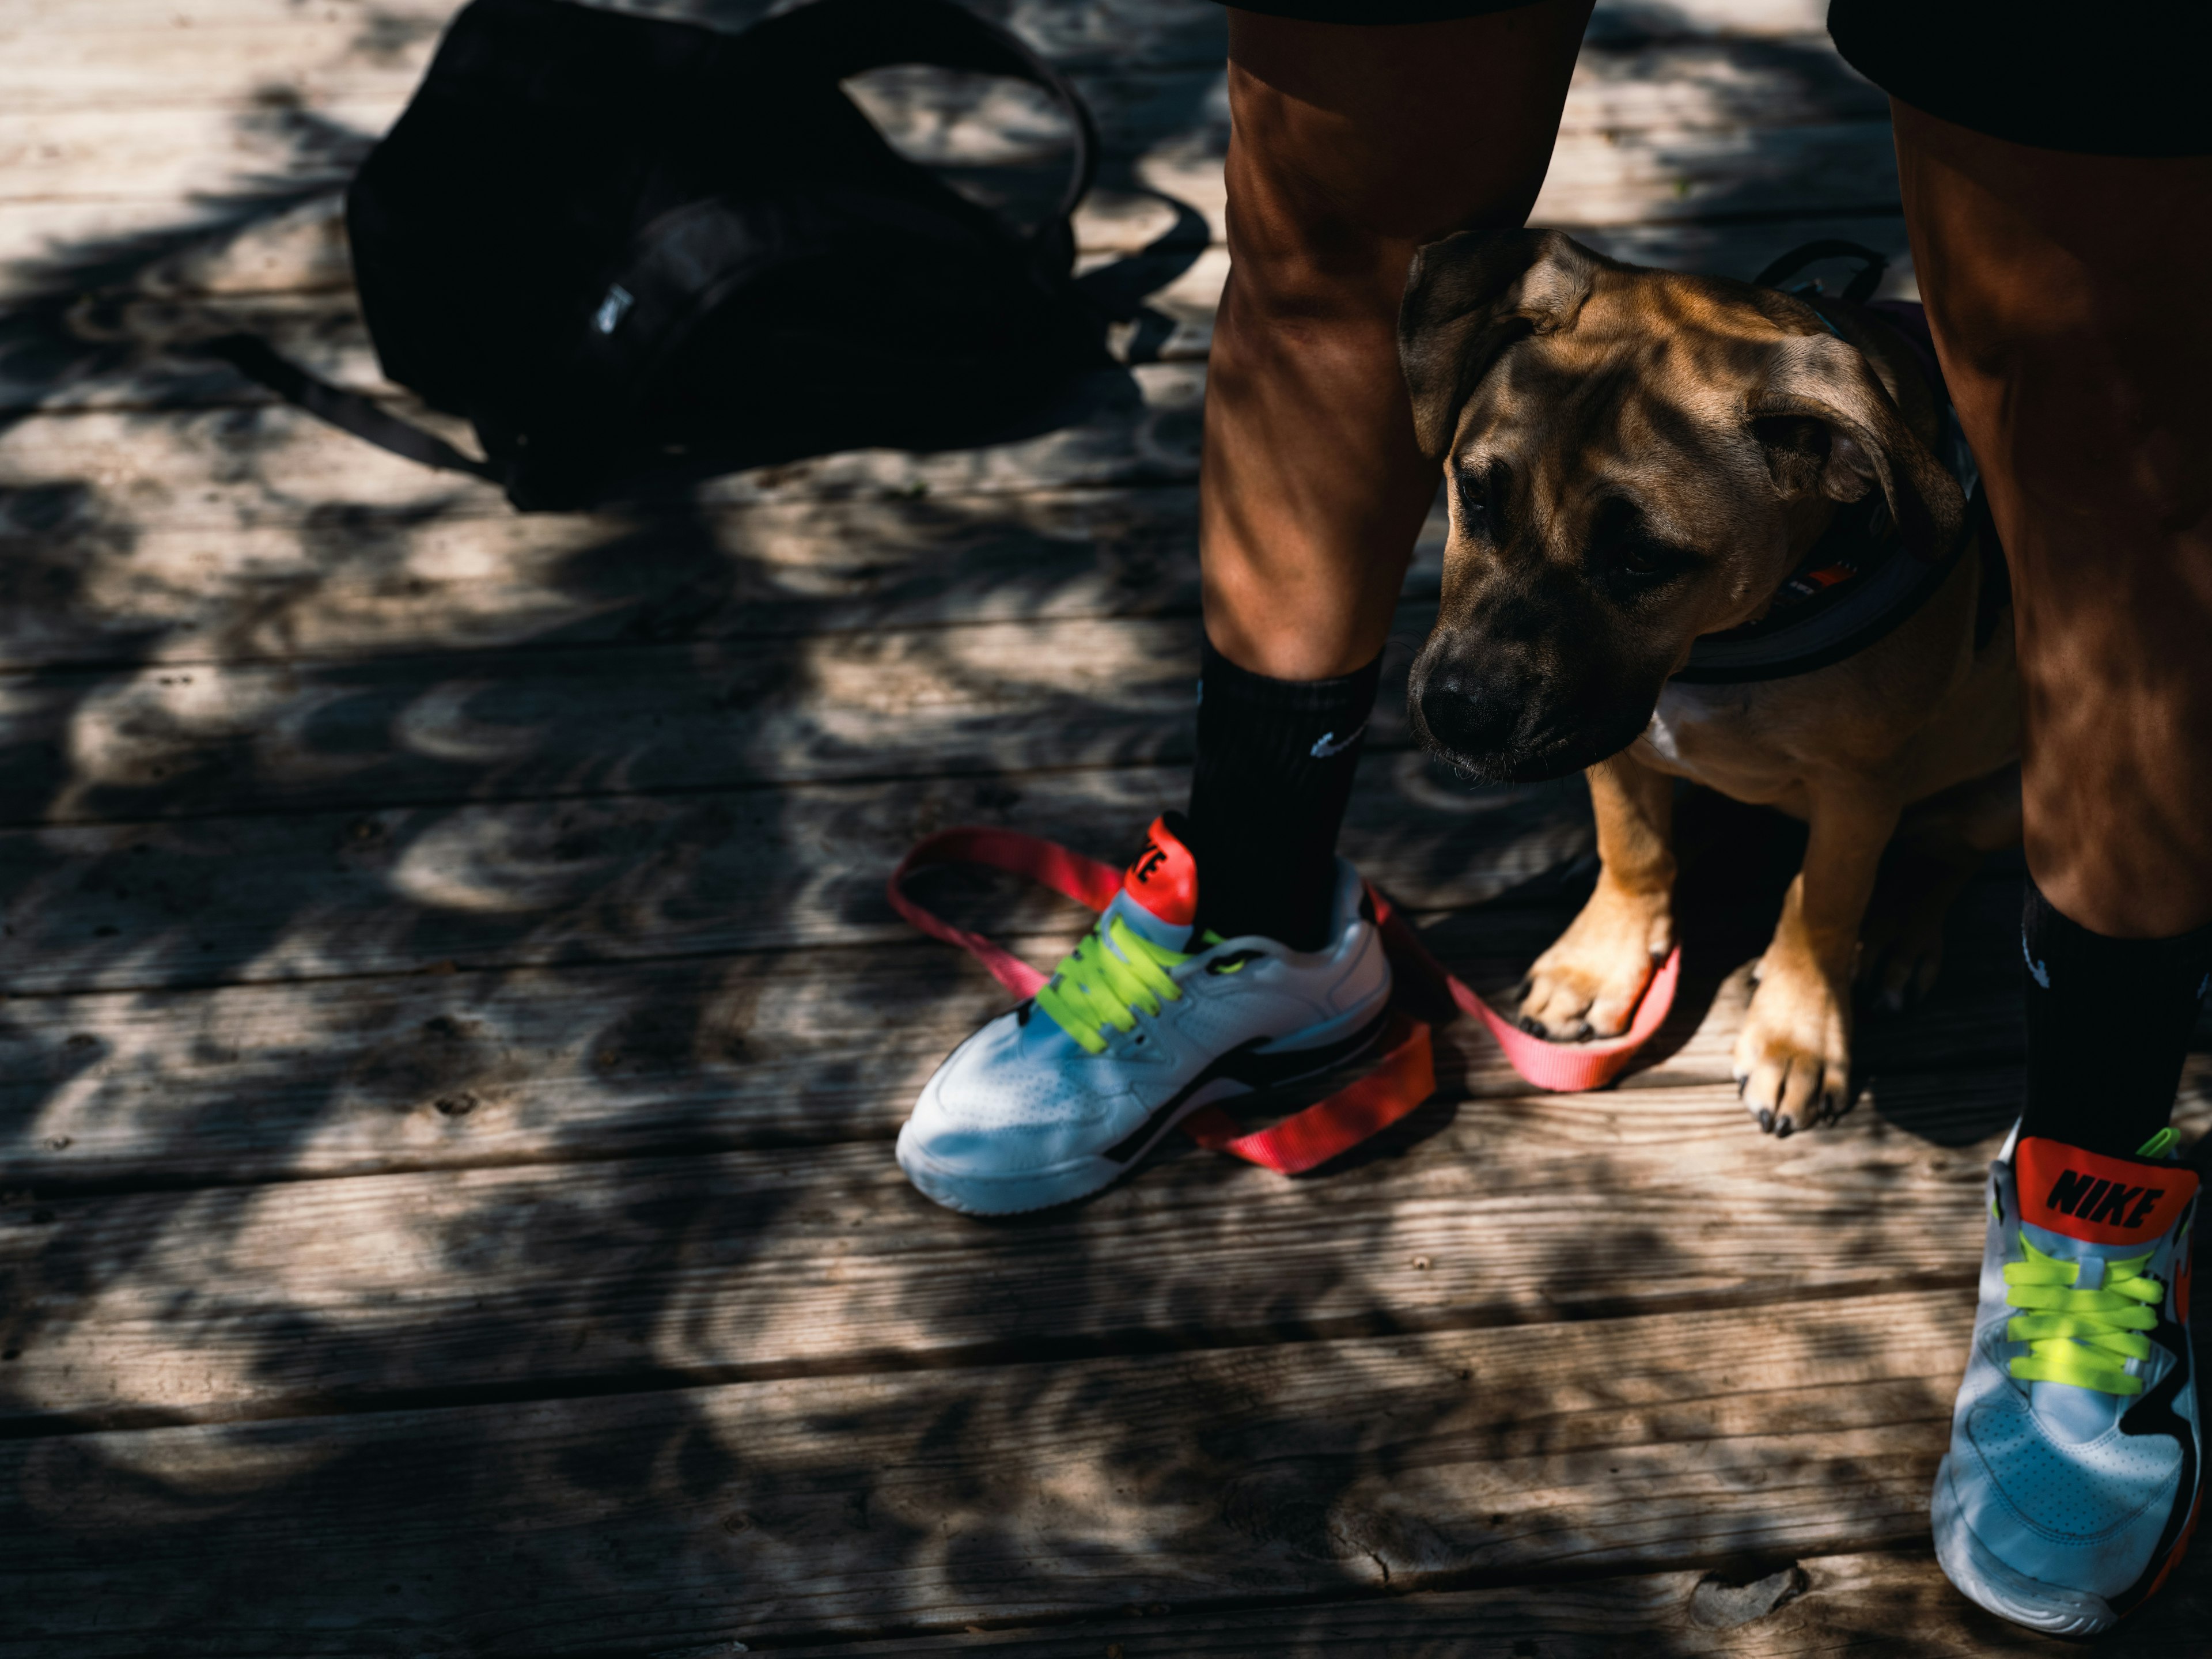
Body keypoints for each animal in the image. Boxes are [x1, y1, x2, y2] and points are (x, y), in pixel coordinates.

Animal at [1397, 228, 2026, 1141]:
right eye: (1474, 494)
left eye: (1642, 559)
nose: (1457, 715)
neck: (1728, 638)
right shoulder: (1616, 743)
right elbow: (1633, 848)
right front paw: (1601, 961)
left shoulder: (1859, 786)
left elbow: (1823, 901)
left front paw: (1798, 1036)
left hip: (2016, 789)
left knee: (1943, 852)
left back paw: (1900, 931)